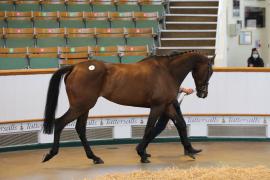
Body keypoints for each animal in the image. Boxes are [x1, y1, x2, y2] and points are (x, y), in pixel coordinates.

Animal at [41, 51, 215, 165]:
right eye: (209, 70)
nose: (203, 93)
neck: (166, 72)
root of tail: (75, 67)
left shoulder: (166, 106)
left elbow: (181, 124)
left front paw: (190, 150)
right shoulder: (157, 106)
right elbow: (149, 128)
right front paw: (142, 154)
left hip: (85, 107)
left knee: (80, 129)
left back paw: (95, 158)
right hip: (80, 106)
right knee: (60, 122)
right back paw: (50, 154)